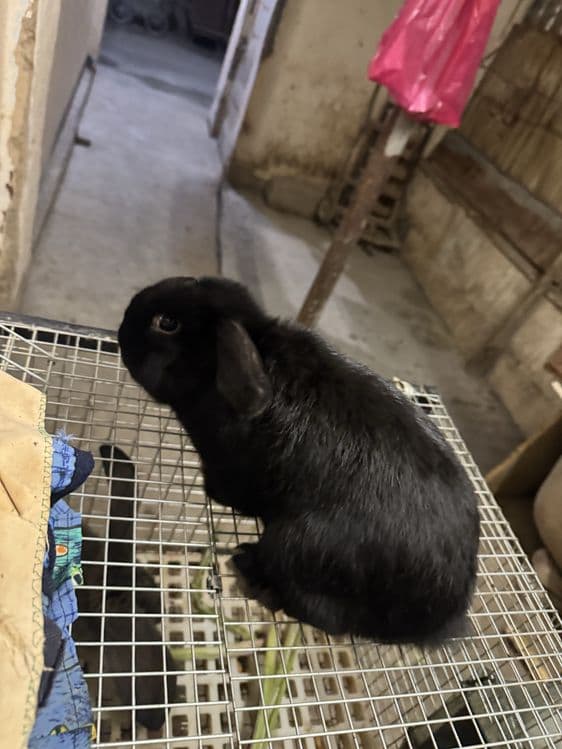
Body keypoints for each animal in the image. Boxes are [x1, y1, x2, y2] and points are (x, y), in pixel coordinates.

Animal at [118, 276, 480, 646]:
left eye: (167, 323)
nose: (122, 325)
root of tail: (439, 621)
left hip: (294, 543)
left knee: (319, 613)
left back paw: (247, 570)